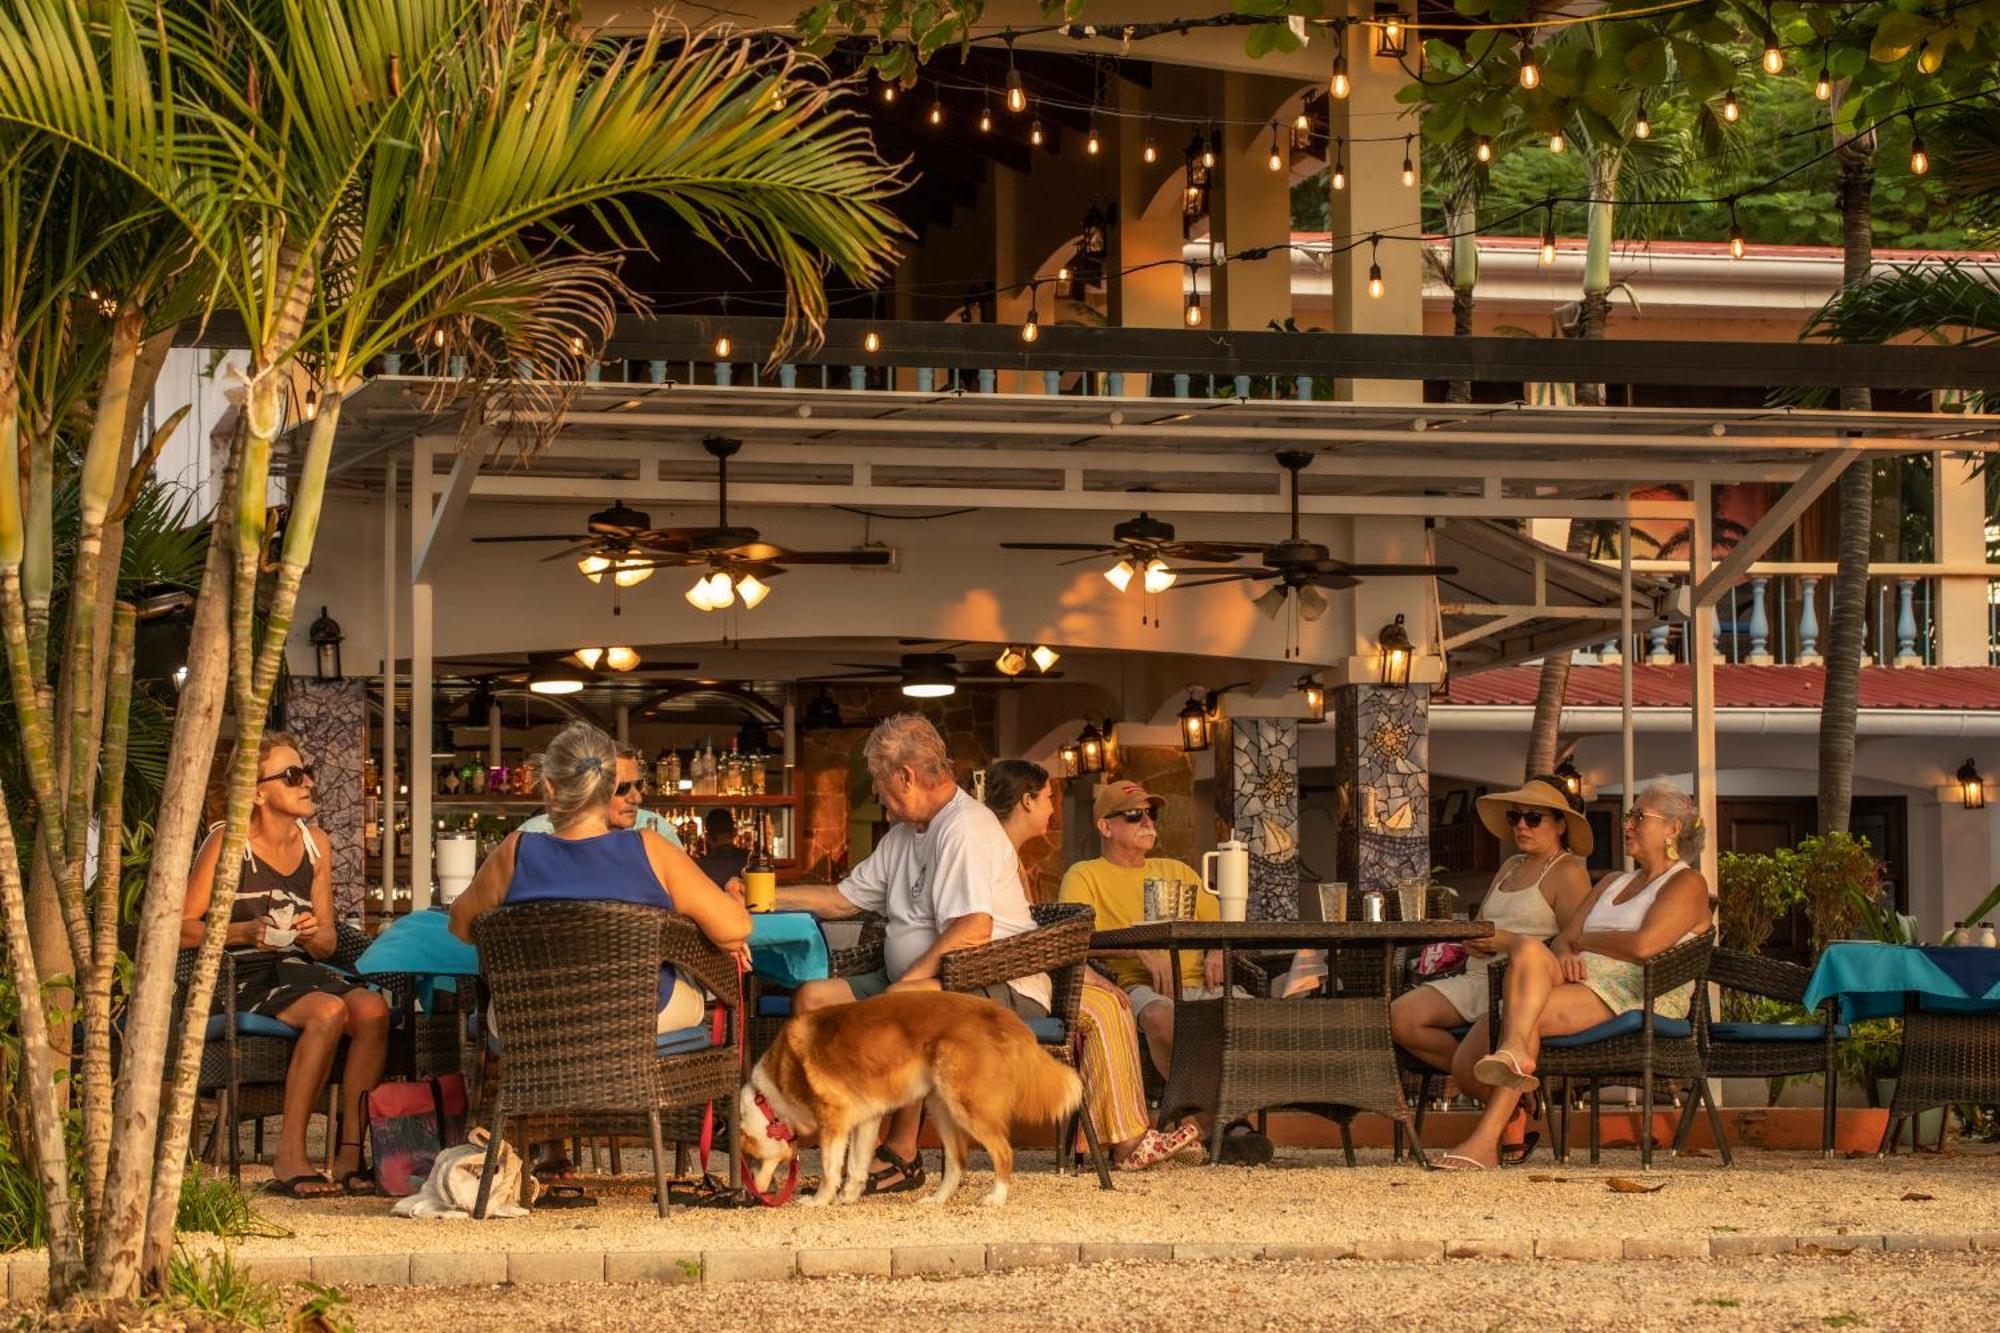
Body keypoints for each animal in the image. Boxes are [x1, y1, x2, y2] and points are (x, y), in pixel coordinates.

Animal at [740, 984, 1080, 1200]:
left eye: (752, 1160)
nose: (754, 1192)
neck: (770, 1097)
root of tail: (1003, 1015)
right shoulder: (866, 1121)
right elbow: (857, 1166)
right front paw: (848, 1197)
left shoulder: (833, 1124)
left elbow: (830, 1169)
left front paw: (820, 1200)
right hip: (941, 1108)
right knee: (957, 1161)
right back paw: (937, 1201)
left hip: (966, 1106)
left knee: (1003, 1152)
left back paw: (996, 1198)